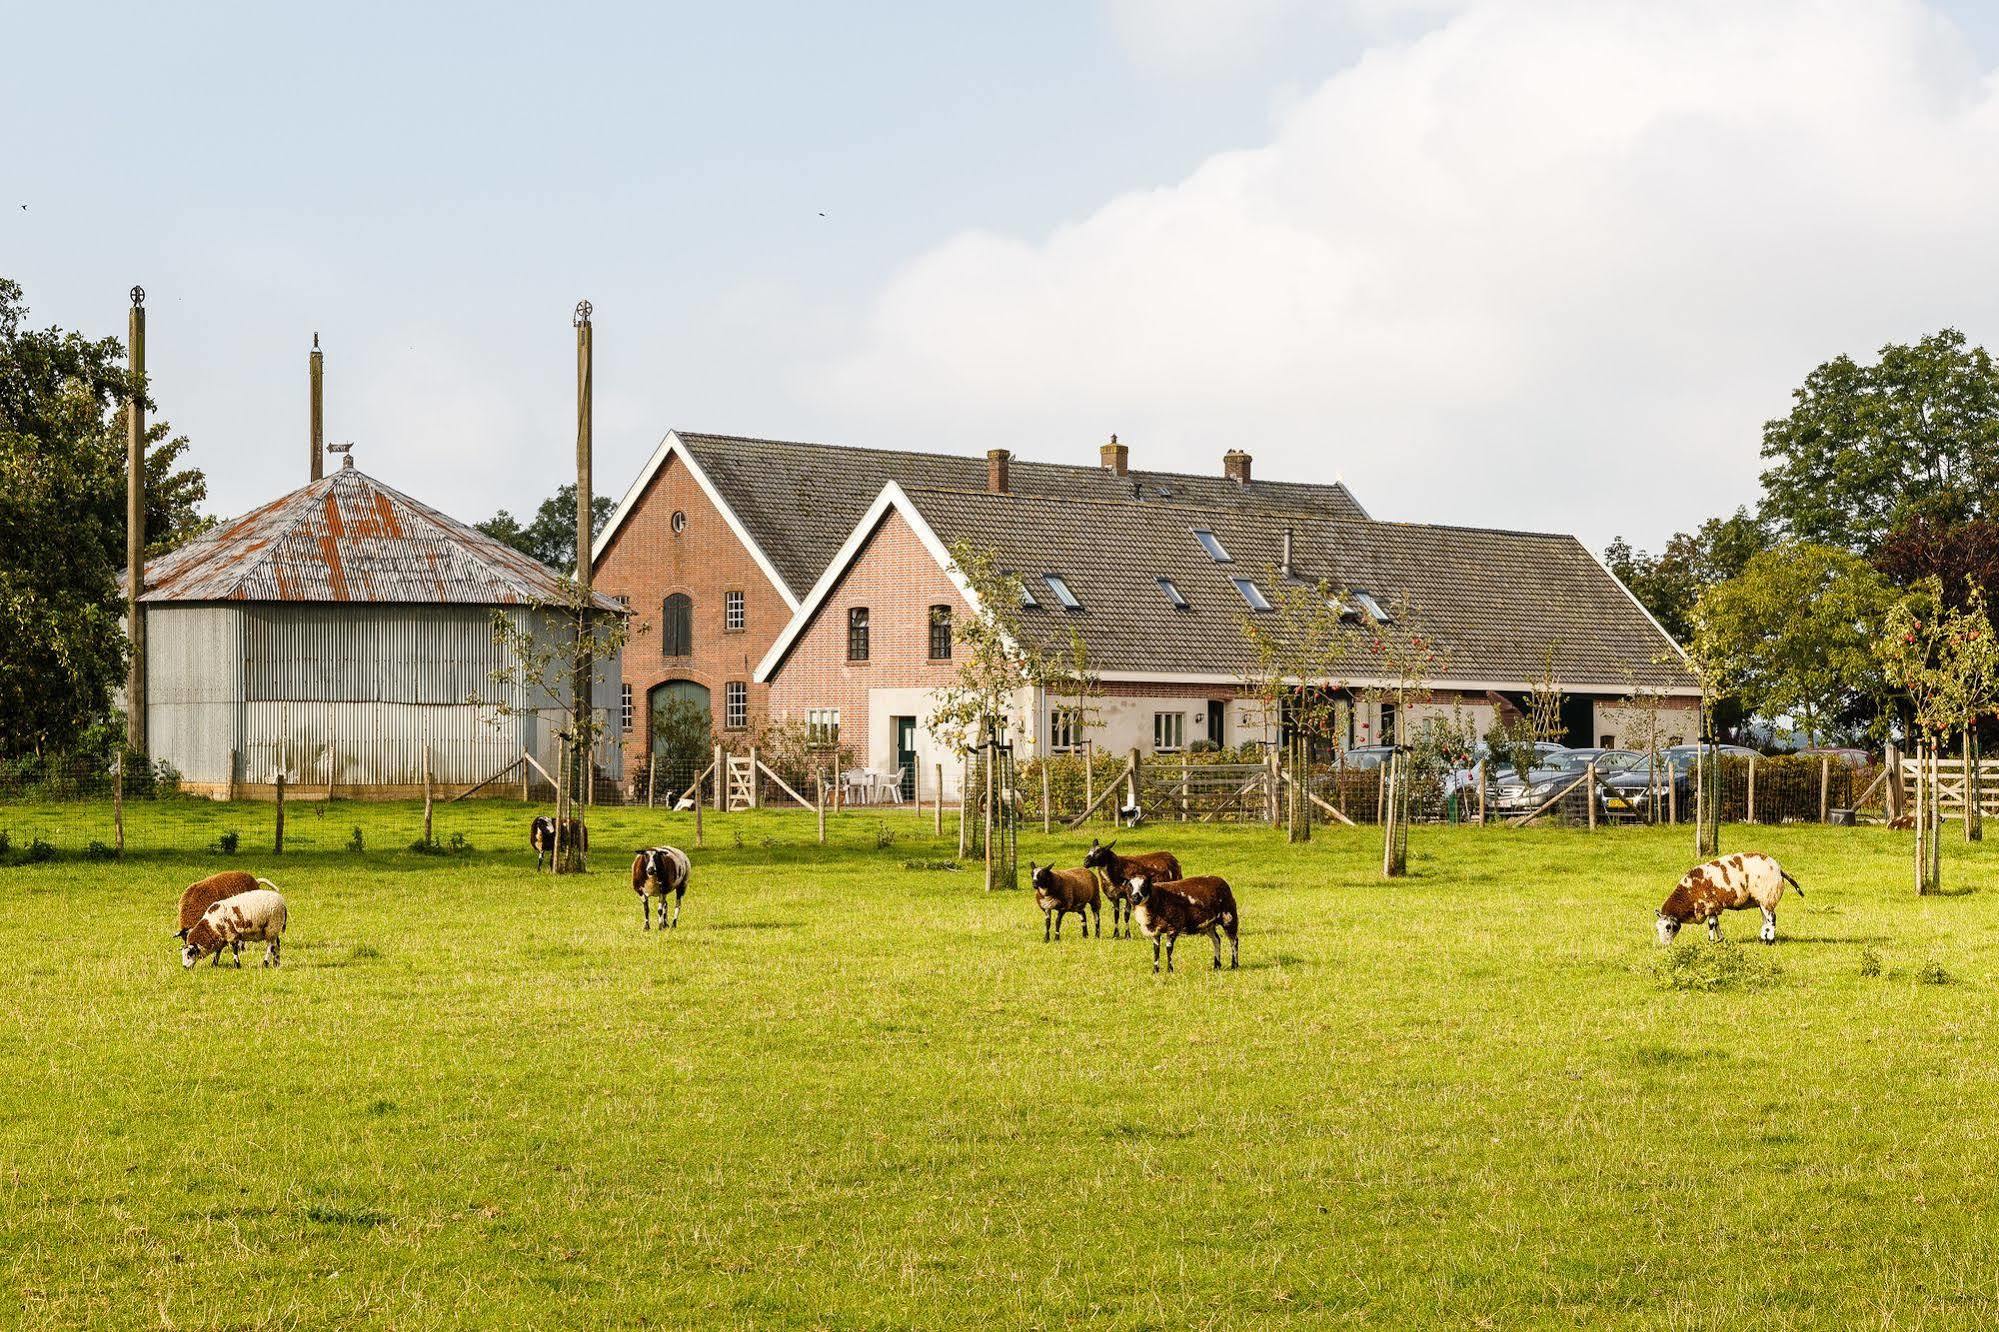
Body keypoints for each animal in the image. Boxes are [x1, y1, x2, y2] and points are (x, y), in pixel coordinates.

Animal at [1647, 852, 1807, 944]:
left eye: (1668, 927)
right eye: (1657, 927)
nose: (1664, 945)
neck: (1689, 895)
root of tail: (1779, 869)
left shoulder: (1710, 905)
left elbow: (1711, 924)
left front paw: (1711, 942)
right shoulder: (1713, 907)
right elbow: (1716, 923)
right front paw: (1720, 939)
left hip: (1767, 895)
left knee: (1772, 918)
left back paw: (1770, 940)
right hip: (1762, 900)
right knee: (1765, 919)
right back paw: (1763, 937)